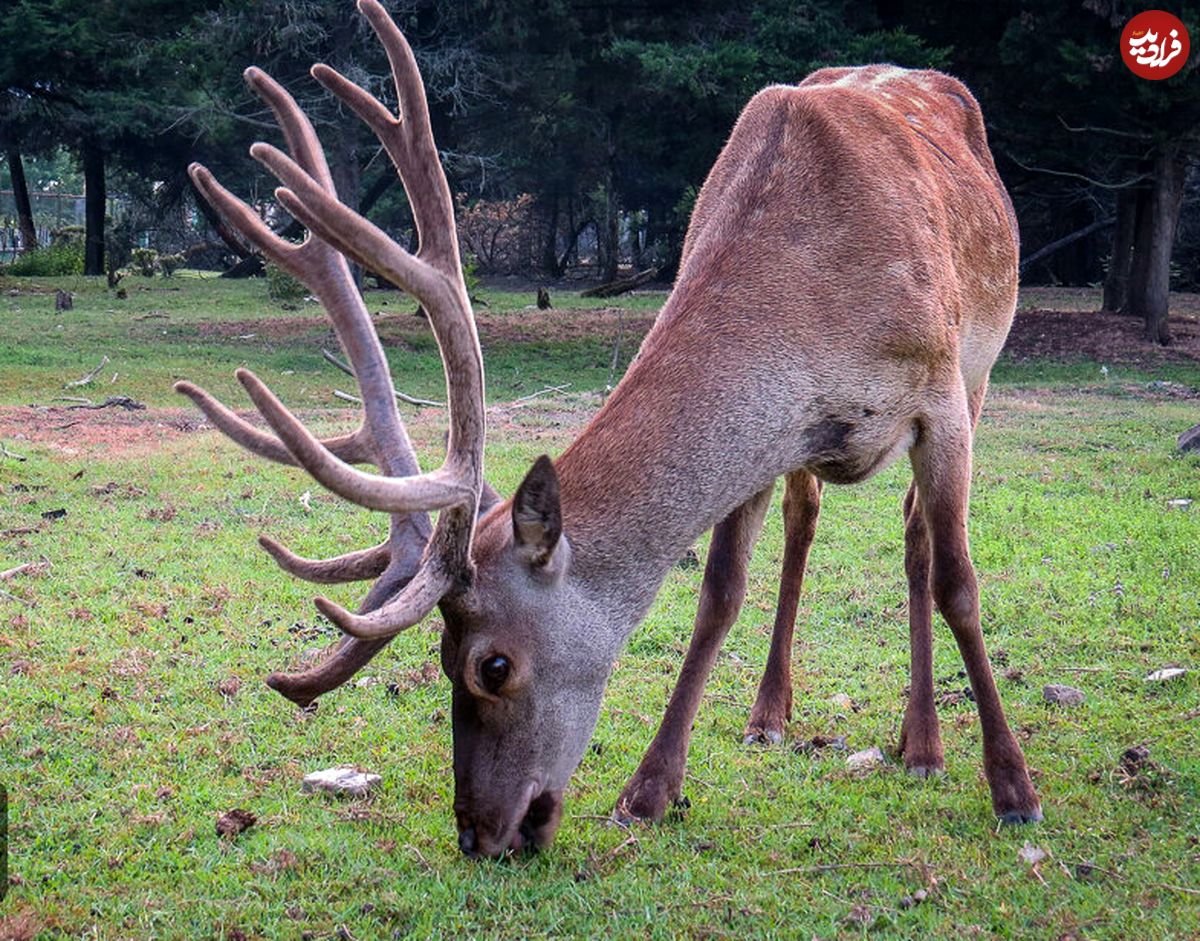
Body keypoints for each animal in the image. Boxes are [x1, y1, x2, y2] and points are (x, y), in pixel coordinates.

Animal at [177, 0, 1041, 859]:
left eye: (493, 664)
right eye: (443, 657)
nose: (476, 832)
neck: (814, 303)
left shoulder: (942, 394)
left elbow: (958, 582)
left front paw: (1014, 789)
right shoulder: (772, 432)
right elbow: (719, 591)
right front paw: (648, 790)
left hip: (978, 370)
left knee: (918, 539)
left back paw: (923, 743)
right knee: (808, 517)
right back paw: (770, 714)